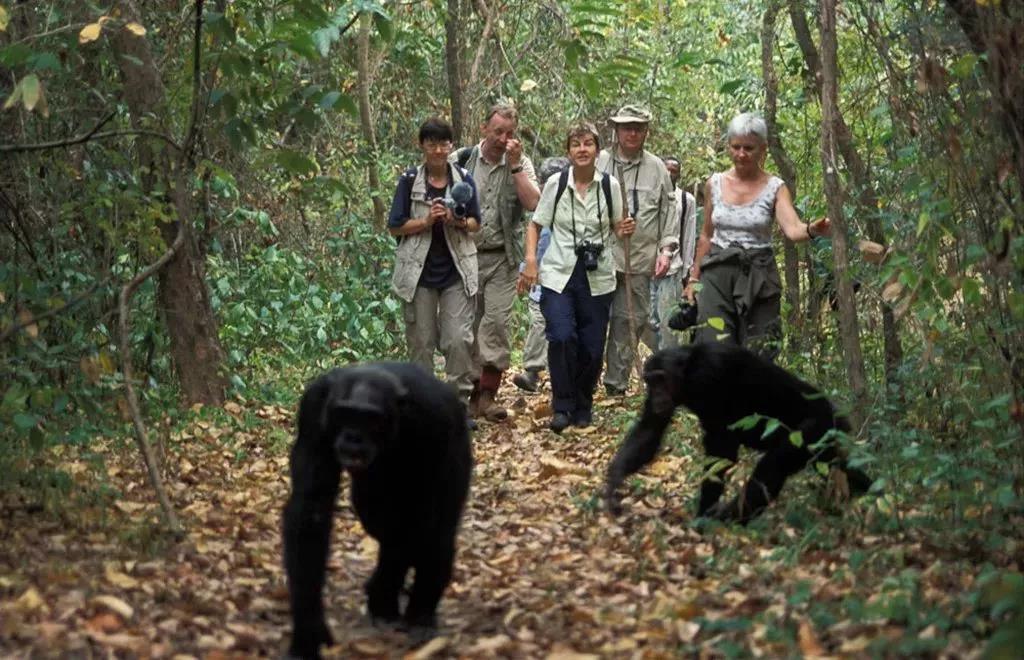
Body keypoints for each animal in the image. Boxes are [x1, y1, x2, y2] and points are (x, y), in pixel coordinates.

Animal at [280, 362, 471, 654]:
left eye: (370, 418)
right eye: (345, 414)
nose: (353, 437)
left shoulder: (435, 421)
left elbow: (425, 516)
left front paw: (386, 595)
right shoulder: (313, 409)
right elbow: (312, 507)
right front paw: (308, 630)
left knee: (436, 528)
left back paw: (419, 614)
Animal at [606, 341, 872, 521]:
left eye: (661, 379)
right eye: (650, 381)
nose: (657, 393)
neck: (688, 371)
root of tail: (836, 414)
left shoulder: (710, 376)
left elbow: (720, 449)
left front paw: (703, 515)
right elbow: (651, 428)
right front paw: (613, 483)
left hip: (813, 427)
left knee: (772, 467)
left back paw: (731, 517)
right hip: (825, 440)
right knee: (838, 465)